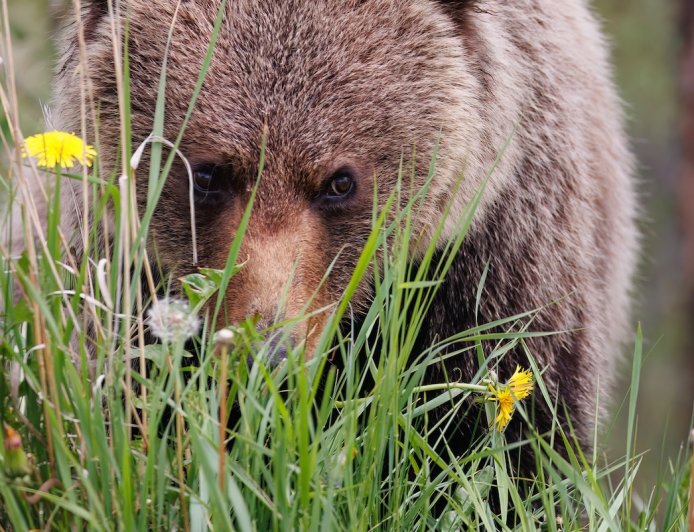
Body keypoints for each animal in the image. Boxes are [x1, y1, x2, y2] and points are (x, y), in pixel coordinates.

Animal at [17, 0, 637, 469]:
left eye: (339, 181)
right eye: (209, 173)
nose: (267, 353)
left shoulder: (495, 260)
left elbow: (499, 440)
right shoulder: (123, 275)